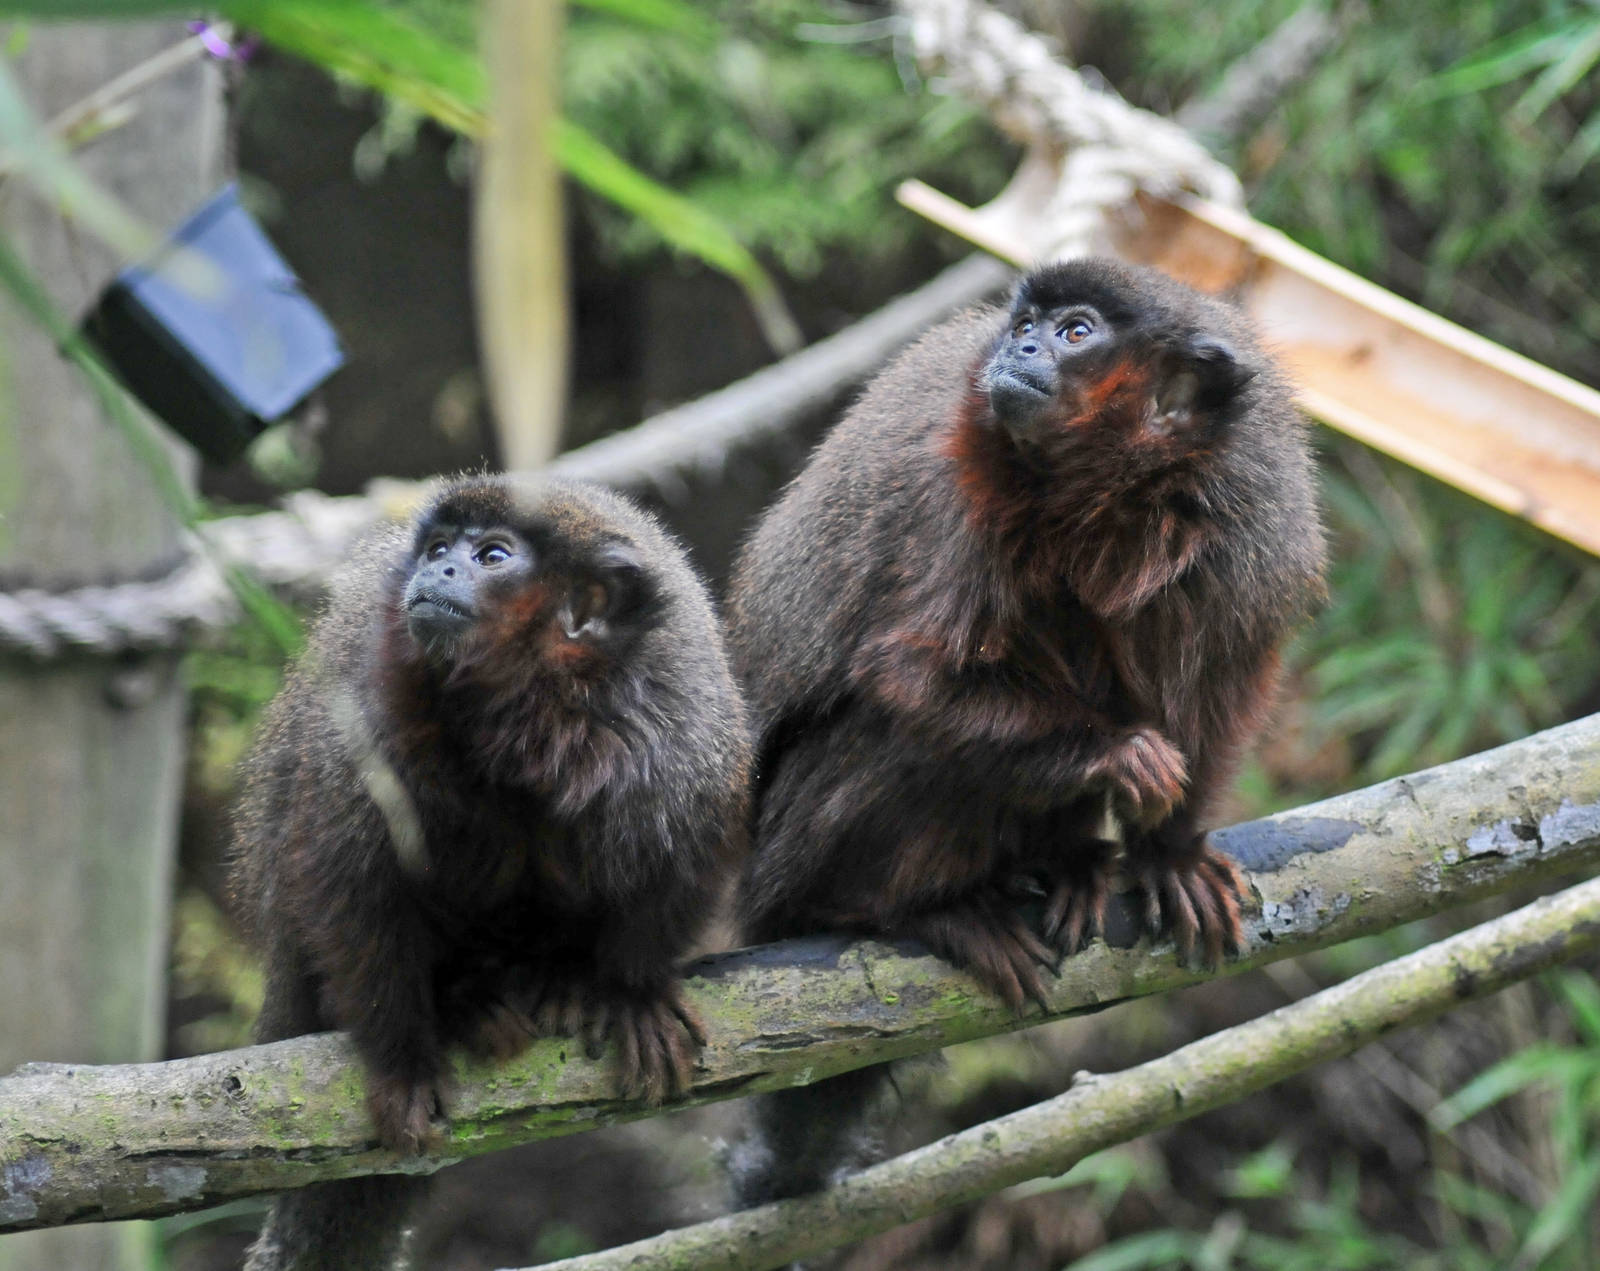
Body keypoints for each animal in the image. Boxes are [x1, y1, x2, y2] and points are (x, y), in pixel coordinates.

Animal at [229, 475, 751, 1271]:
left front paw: (630, 991)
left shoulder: (679, 724)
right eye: (440, 547)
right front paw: (402, 1057)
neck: (537, 711)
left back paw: (557, 975)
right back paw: (465, 998)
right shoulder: (370, 716)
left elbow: (677, 863)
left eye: (493, 556)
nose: (437, 569)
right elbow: (352, 885)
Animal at [725, 259, 1325, 1209]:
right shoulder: (954, 474)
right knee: (909, 734)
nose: (1021, 349)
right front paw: (1118, 754)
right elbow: (913, 673)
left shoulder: (1252, 510)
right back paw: (907, 909)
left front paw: (1171, 850)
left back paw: (1067, 858)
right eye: (1025, 325)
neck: (1122, 491)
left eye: (1076, 332)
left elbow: (1229, 675)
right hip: (783, 860)